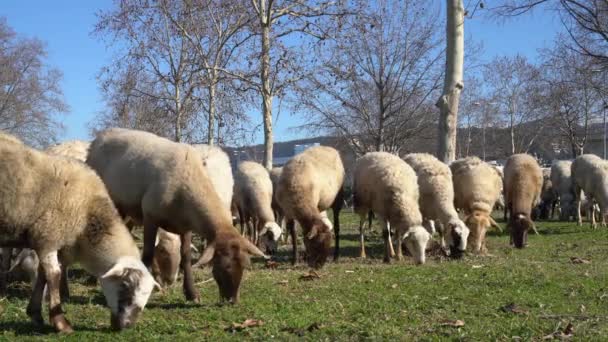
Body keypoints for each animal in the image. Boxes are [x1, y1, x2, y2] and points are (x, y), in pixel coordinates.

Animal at [0, 132, 157, 332]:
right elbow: (54, 275)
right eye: (126, 286)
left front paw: (35, 313)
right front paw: (60, 322)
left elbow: (43, 274)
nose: (125, 326)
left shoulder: (50, 240)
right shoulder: (48, 235)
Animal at [86, 129, 268, 304]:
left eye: (244, 265)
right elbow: (148, 254)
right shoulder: (150, 217)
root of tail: (103, 134)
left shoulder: (185, 225)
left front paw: (191, 293)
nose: (232, 300)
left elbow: (185, 257)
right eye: (224, 266)